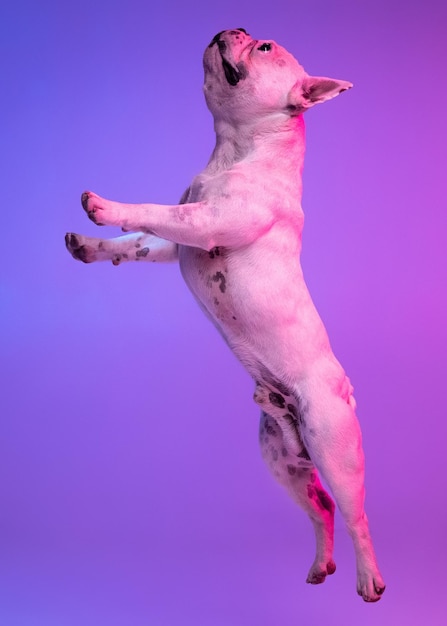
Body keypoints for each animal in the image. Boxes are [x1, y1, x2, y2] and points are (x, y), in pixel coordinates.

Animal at [65, 28, 384, 600]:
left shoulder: (206, 222)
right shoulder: (181, 240)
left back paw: (368, 578)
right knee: (321, 507)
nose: (232, 27)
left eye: (265, 48)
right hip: (280, 460)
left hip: (334, 445)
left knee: (355, 514)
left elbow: (152, 212)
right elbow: (140, 242)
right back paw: (320, 565)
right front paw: (91, 246)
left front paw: (105, 206)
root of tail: (343, 389)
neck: (235, 150)